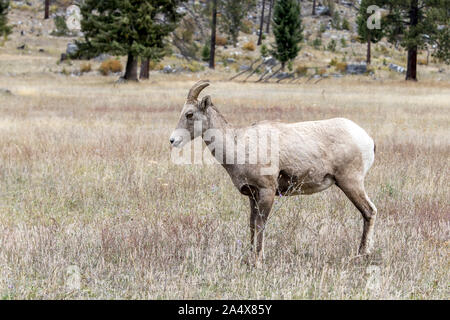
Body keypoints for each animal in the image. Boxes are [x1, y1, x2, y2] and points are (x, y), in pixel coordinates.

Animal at [171, 81, 378, 264]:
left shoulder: (267, 192)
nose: (173, 140)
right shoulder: (253, 196)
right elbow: (252, 225)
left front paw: (258, 261)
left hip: (351, 183)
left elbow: (260, 225)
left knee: (369, 211)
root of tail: (366, 138)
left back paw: (361, 255)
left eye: (189, 114)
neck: (239, 145)